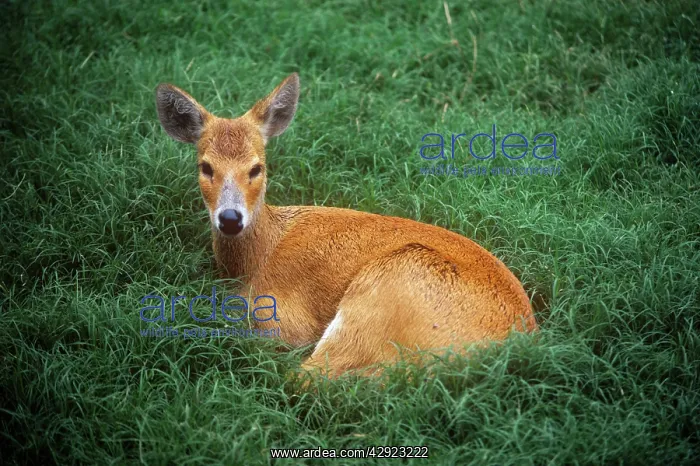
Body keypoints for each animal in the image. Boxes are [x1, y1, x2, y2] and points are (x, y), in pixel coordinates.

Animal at [155, 73, 537, 379]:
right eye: (205, 167)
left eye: (256, 168)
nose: (231, 218)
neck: (254, 261)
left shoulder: (280, 318)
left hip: (387, 286)